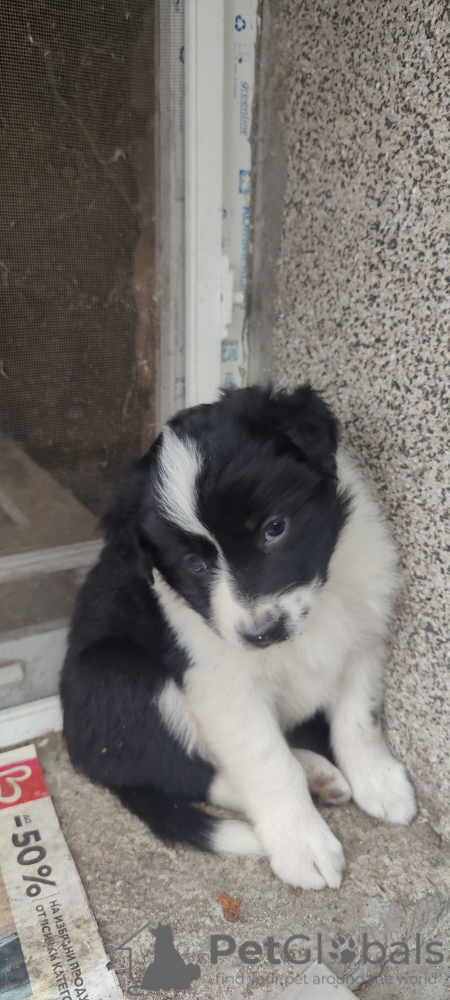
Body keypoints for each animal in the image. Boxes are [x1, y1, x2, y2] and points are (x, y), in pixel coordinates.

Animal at [60, 384, 416, 889]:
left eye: (275, 528)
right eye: (195, 565)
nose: (262, 633)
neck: (317, 614)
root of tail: (83, 752)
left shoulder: (363, 639)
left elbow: (358, 720)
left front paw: (378, 781)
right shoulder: (221, 685)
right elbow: (266, 762)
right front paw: (301, 844)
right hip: (117, 676)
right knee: (189, 773)